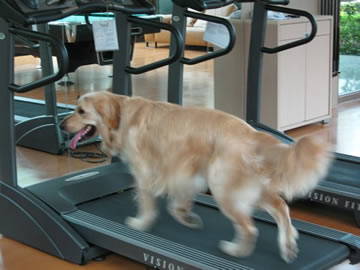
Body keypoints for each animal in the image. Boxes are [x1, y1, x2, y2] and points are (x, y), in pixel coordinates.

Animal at [59, 90, 332, 262]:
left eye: (81, 111)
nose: (61, 125)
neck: (122, 115)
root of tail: (252, 133)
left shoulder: (146, 171)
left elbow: (147, 202)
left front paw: (141, 223)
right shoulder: (185, 170)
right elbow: (178, 201)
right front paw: (186, 217)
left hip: (223, 187)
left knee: (250, 228)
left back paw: (236, 250)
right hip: (247, 186)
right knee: (281, 207)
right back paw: (288, 245)